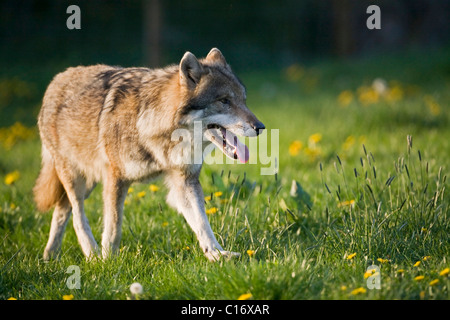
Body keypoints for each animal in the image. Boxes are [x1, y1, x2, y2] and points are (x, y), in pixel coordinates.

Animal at [34, 48, 264, 262]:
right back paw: (91, 255)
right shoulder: (116, 178)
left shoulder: (185, 180)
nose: (260, 127)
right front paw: (109, 262)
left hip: (88, 181)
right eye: (224, 101)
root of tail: (56, 80)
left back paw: (50, 256)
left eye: (244, 100)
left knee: (62, 211)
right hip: (77, 179)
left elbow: (202, 222)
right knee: (77, 217)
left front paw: (216, 255)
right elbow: (114, 227)